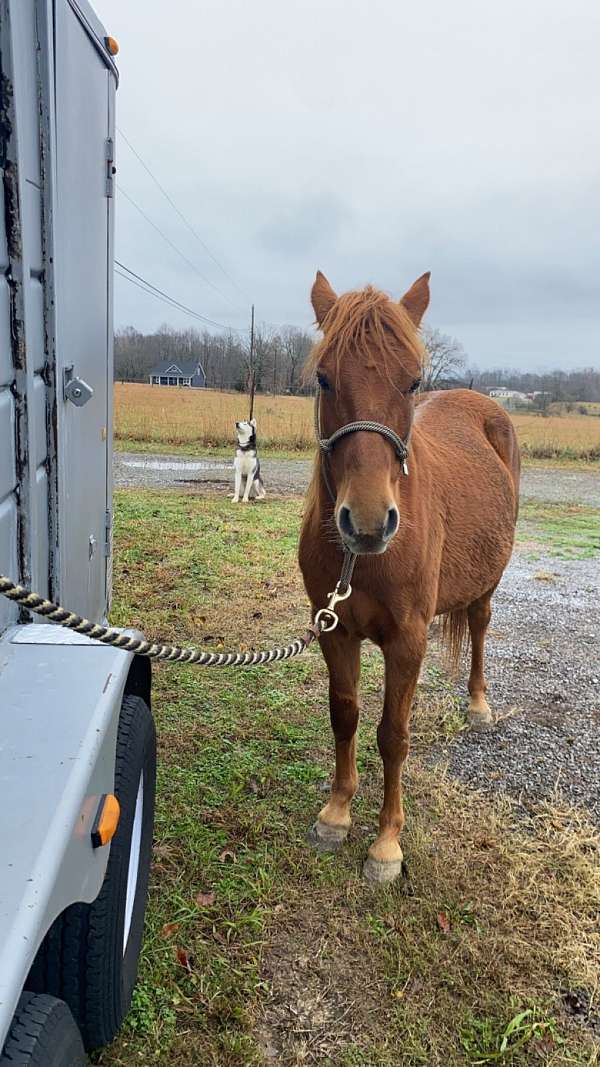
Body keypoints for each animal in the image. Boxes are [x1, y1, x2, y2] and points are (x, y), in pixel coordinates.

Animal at [298, 268, 518, 883]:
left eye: (412, 380)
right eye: (323, 378)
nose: (370, 522)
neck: (362, 562)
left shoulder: (408, 641)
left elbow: (393, 736)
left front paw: (386, 844)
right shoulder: (334, 630)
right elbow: (345, 717)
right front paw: (336, 814)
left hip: (488, 586)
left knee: (481, 628)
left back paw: (477, 705)